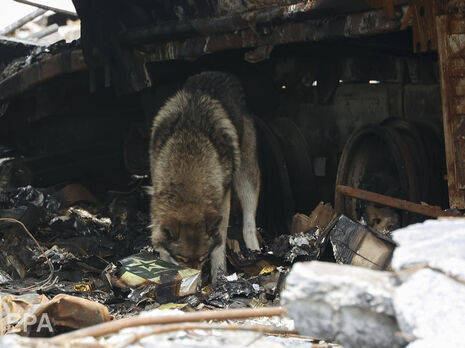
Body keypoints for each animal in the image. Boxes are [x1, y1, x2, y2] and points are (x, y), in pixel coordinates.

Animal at [148, 71, 260, 282]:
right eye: (182, 259)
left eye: (202, 258)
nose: (195, 279)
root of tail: (222, 73)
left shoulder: (223, 202)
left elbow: (219, 244)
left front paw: (219, 277)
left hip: (246, 179)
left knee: (249, 220)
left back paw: (254, 251)